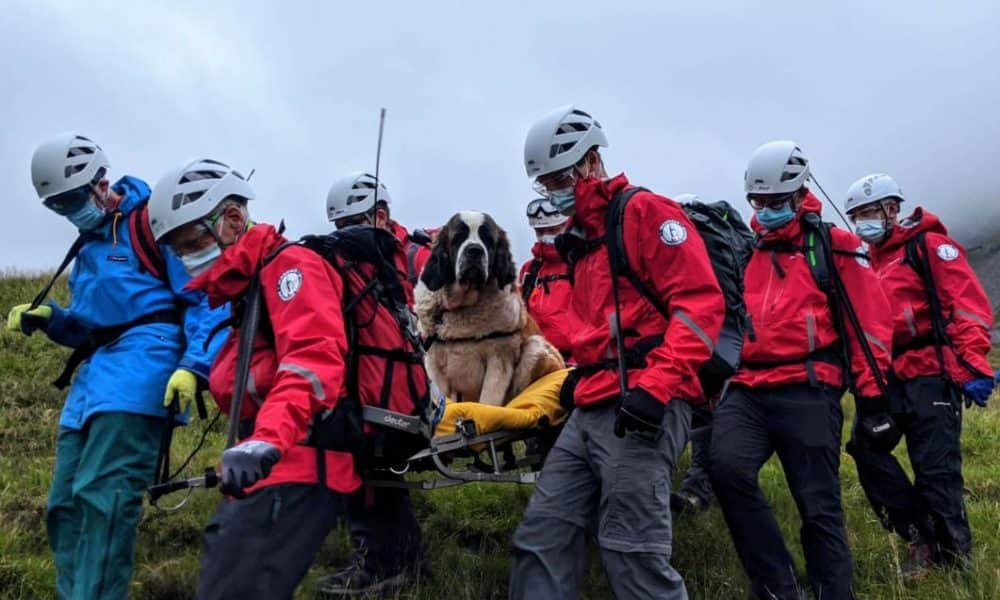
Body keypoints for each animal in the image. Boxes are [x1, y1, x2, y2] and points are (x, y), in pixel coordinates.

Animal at [414, 209, 568, 406]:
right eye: (458, 237)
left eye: (487, 239)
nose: (474, 250)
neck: (463, 307)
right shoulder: (435, 365)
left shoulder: (499, 360)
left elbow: (488, 401)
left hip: (536, 348)